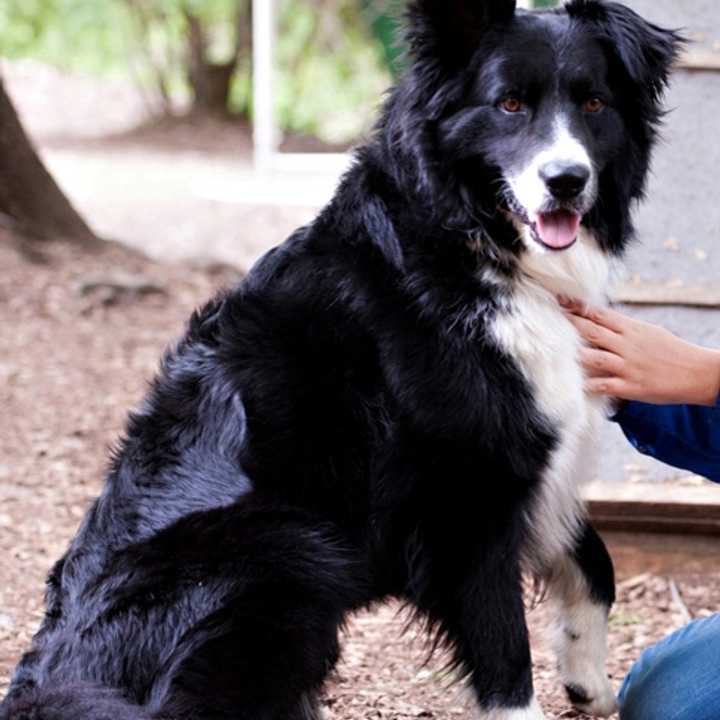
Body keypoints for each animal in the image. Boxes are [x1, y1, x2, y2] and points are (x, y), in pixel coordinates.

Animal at [0, 1, 676, 720]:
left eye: (595, 103)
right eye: (510, 104)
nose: (567, 181)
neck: (470, 243)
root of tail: (47, 679)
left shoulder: (532, 459)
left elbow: (596, 561)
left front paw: (588, 676)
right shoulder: (465, 493)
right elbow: (502, 651)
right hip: (286, 549)